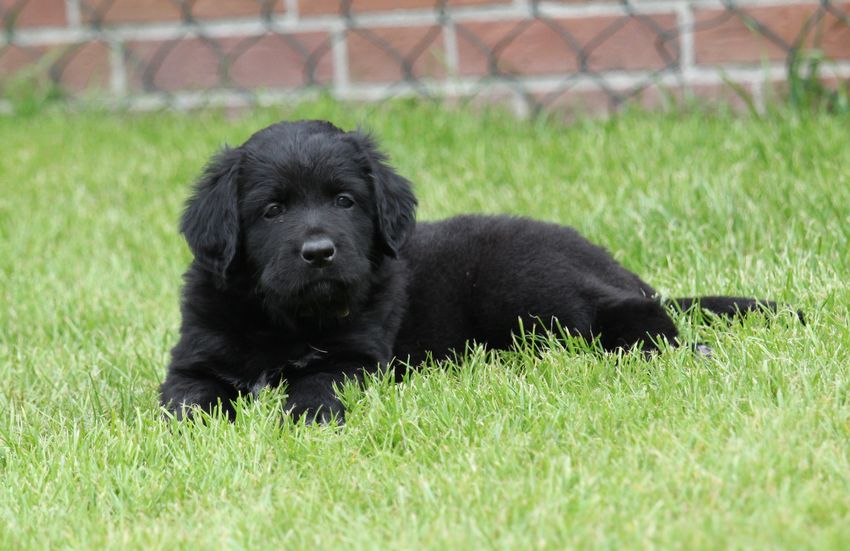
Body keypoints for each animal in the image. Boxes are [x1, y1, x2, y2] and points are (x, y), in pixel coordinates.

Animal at [160, 120, 789, 423]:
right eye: (271, 210)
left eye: (345, 201)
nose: (319, 252)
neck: (285, 319)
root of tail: (606, 258)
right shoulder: (194, 358)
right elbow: (186, 399)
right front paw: (193, 431)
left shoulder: (356, 358)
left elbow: (318, 382)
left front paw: (306, 418)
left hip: (527, 287)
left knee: (629, 313)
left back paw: (674, 349)